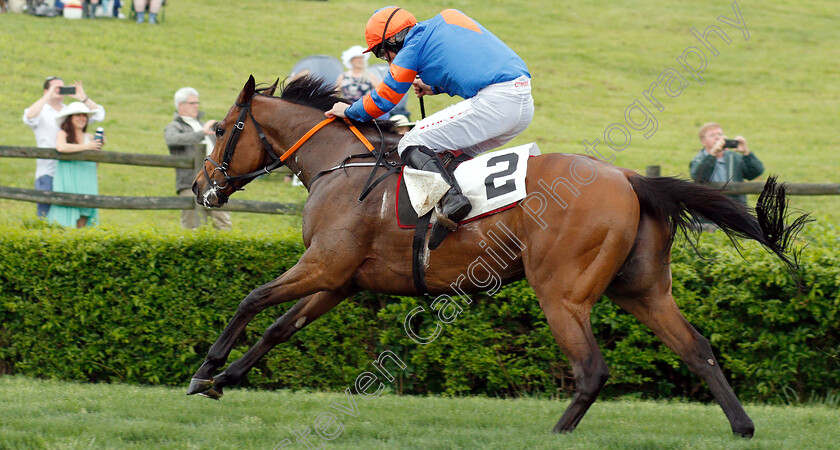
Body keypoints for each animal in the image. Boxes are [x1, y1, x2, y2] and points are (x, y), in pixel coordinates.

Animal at [189, 75, 808, 438]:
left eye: (222, 128)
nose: (200, 187)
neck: (339, 164)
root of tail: (630, 177)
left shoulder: (324, 266)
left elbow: (252, 299)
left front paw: (204, 371)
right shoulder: (341, 279)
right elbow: (280, 328)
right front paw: (227, 378)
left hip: (561, 291)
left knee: (592, 368)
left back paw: (557, 434)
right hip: (642, 289)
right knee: (697, 349)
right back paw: (743, 426)